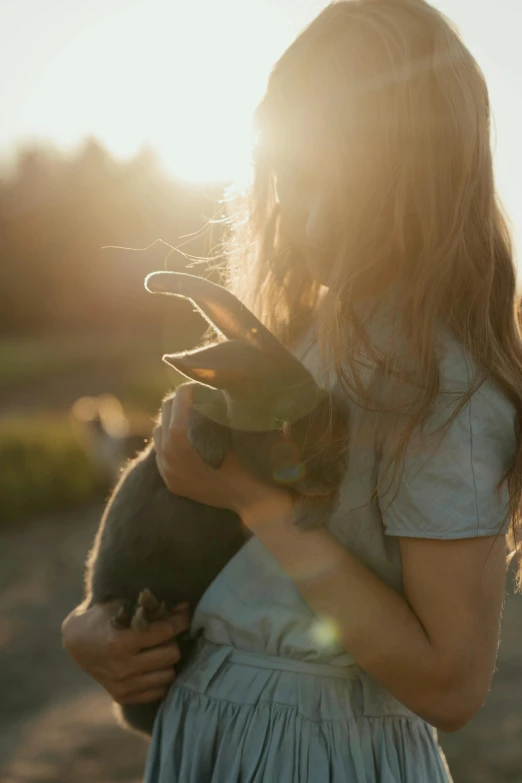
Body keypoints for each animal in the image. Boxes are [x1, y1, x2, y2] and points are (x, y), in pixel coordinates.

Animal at [83, 270, 348, 736]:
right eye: (282, 423)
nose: (333, 475)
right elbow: (201, 403)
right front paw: (208, 448)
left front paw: (310, 513)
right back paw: (139, 615)